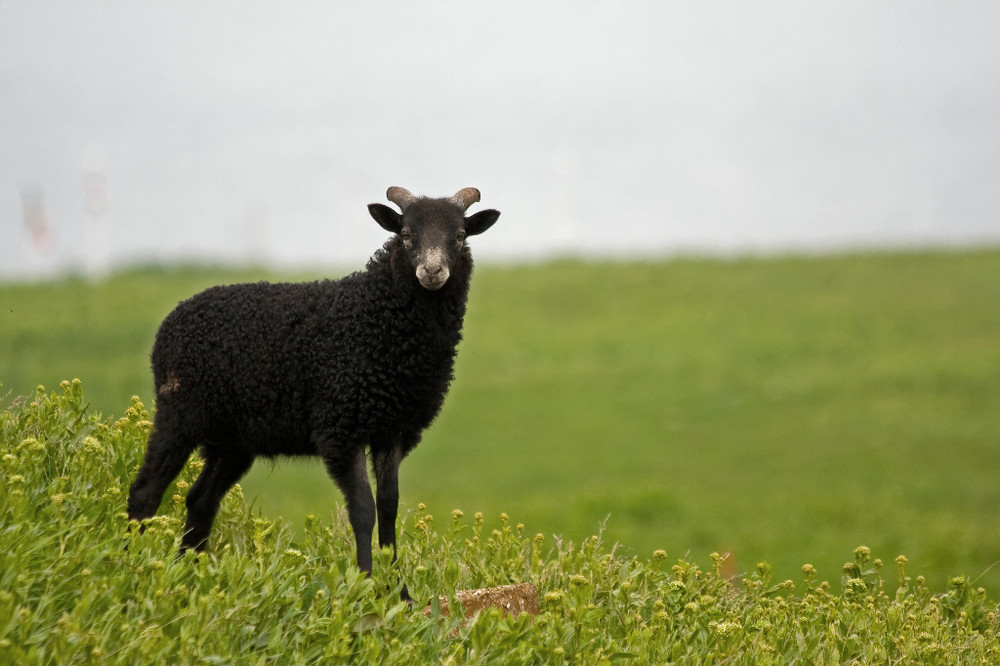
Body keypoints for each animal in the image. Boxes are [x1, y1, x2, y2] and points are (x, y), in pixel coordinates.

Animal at [127, 185, 498, 596]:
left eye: (460, 235)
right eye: (406, 234)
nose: (432, 271)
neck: (378, 321)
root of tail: (172, 320)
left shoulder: (392, 431)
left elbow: (388, 506)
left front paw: (399, 592)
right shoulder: (341, 428)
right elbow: (363, 509)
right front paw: (365, 585)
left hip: (234, 439)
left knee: (200, 500)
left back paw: (189, 574)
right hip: (180, 413)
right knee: (145, 492)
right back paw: (132, 565)